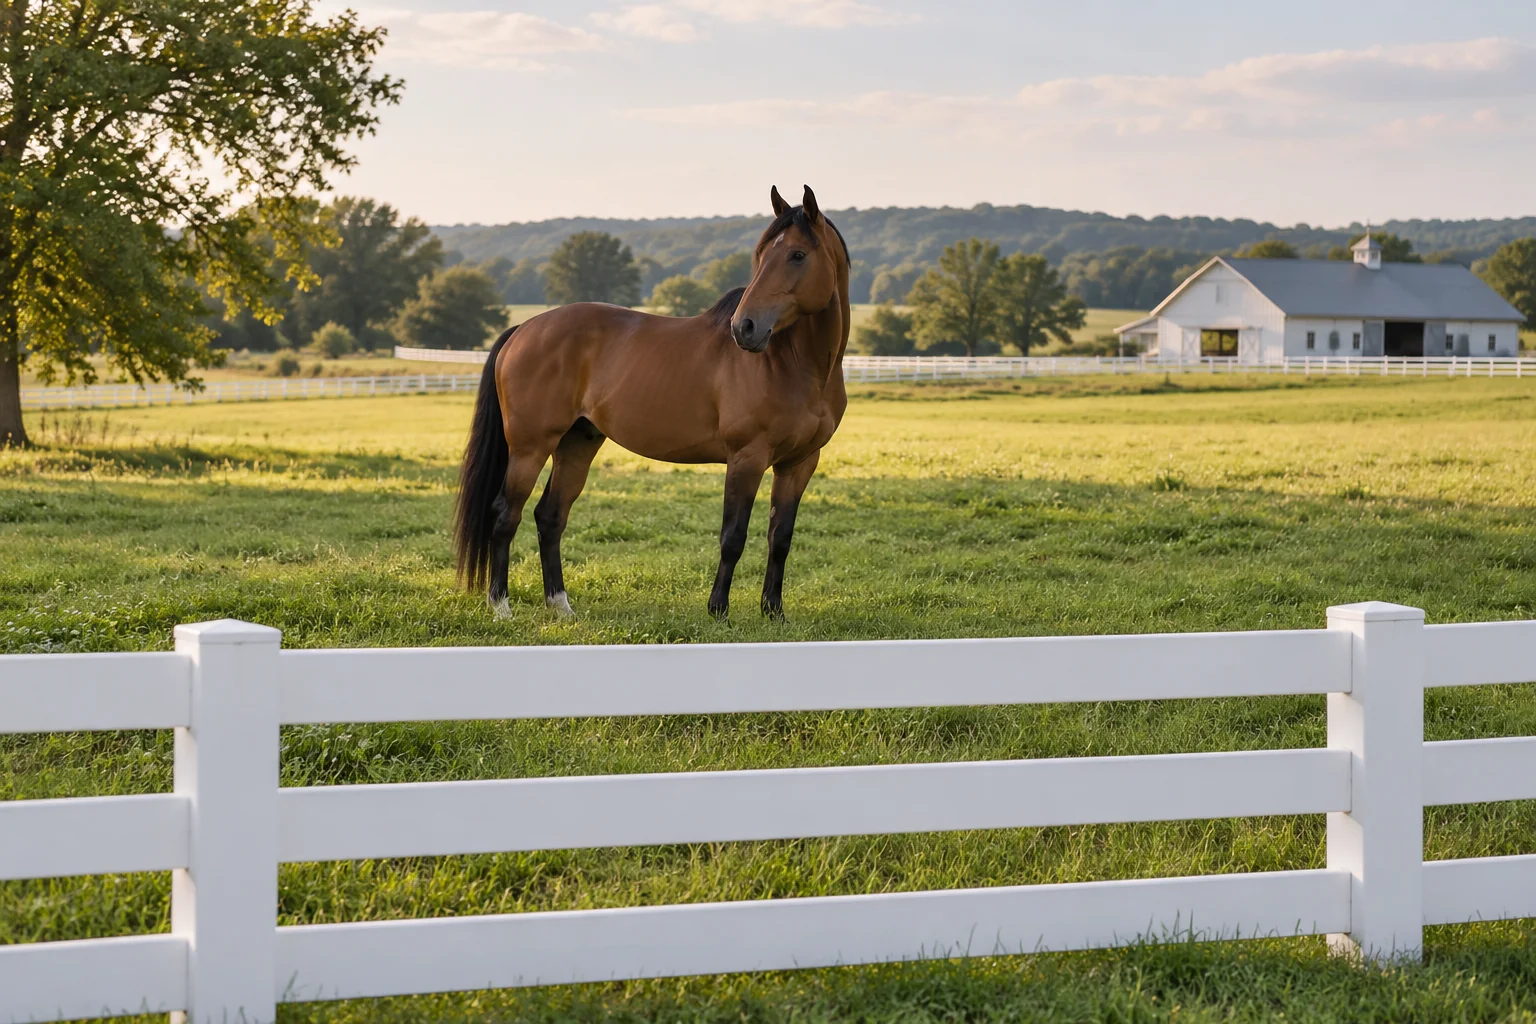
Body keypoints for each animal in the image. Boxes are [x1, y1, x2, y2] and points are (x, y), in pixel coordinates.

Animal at [453, 185, 851, 619]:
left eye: (797, 255)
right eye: (761, 255)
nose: (744, 328)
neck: (795, 365)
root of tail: (524, 328)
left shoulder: (799, 463)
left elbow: (780, 538)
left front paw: (773, 612)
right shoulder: (747, 457)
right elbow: (733, 536)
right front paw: (718, 611)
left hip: (576, 445)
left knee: (550, 517)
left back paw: (561, 607)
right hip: (530, 448)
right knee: (505, 515)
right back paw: (501, 607)